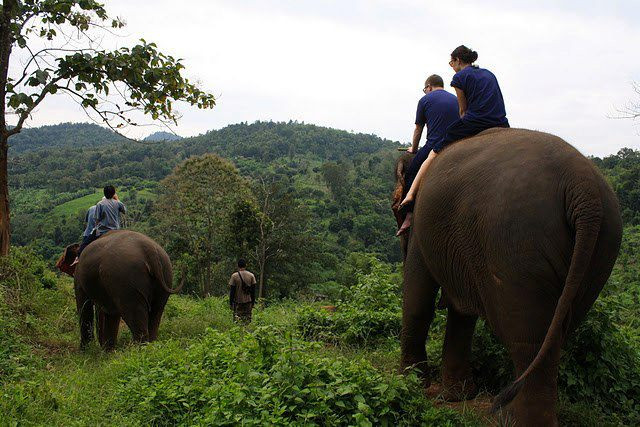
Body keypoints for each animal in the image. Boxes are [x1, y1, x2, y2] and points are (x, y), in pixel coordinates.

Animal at [391, 128, 622, 426]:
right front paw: (456, 397)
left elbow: (419, 296)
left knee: (527, 337)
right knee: (553, 336)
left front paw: (409, 385)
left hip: (518, 242)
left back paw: (511, 417)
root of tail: (584, 189)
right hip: (601, 250)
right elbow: (462, 311)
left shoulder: (421, 222)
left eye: (396, 209)